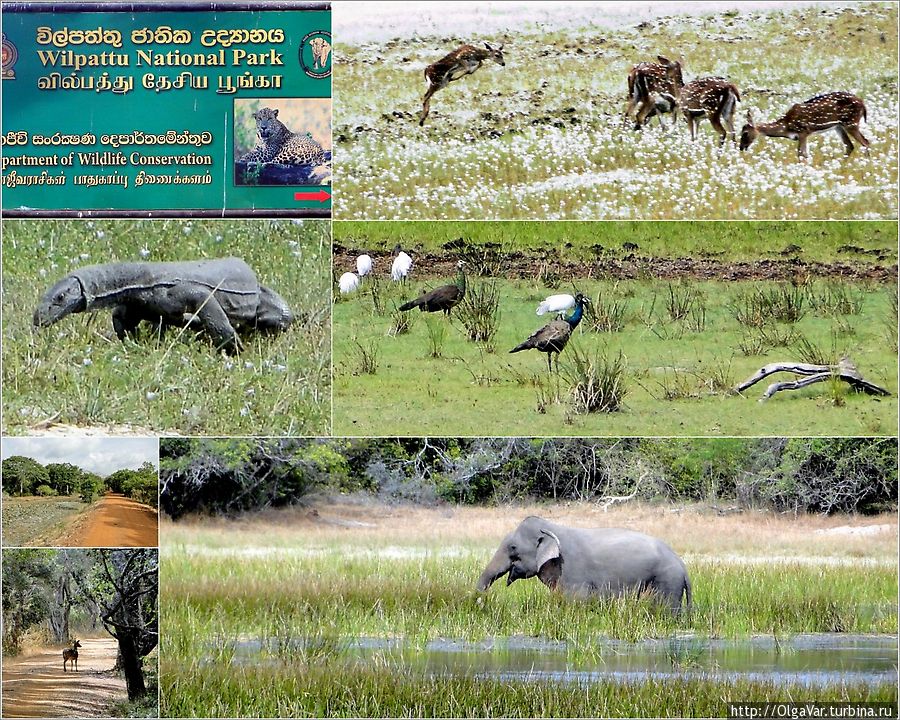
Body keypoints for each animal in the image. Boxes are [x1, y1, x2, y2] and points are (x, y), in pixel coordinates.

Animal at [474, 516, 692, 612]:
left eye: (512, 548)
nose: (479, 602)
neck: (552, 527)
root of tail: (682, 566)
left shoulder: (574, 573)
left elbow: (576, 602)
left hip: (667, 581)